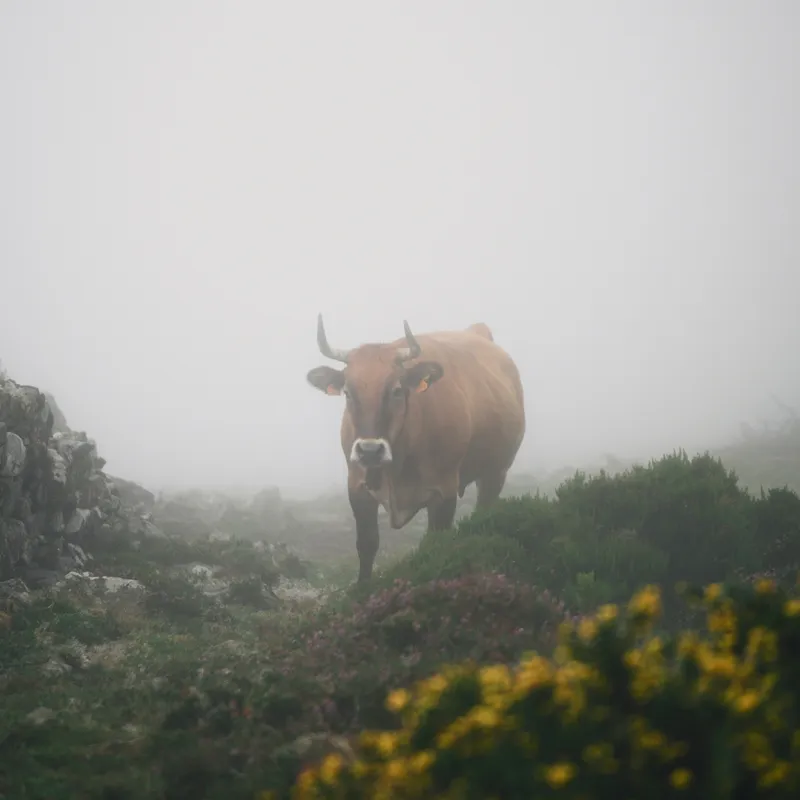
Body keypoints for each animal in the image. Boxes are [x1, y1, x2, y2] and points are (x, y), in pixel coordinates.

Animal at [306, 315, 526, 582]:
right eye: (347, 392)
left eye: (397, 390)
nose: (370, 451)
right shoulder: (357, 488)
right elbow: (367, 544)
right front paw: (362, 587)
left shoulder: (444, 491)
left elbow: (434, 543)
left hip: (496, 472)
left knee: (483, 512)